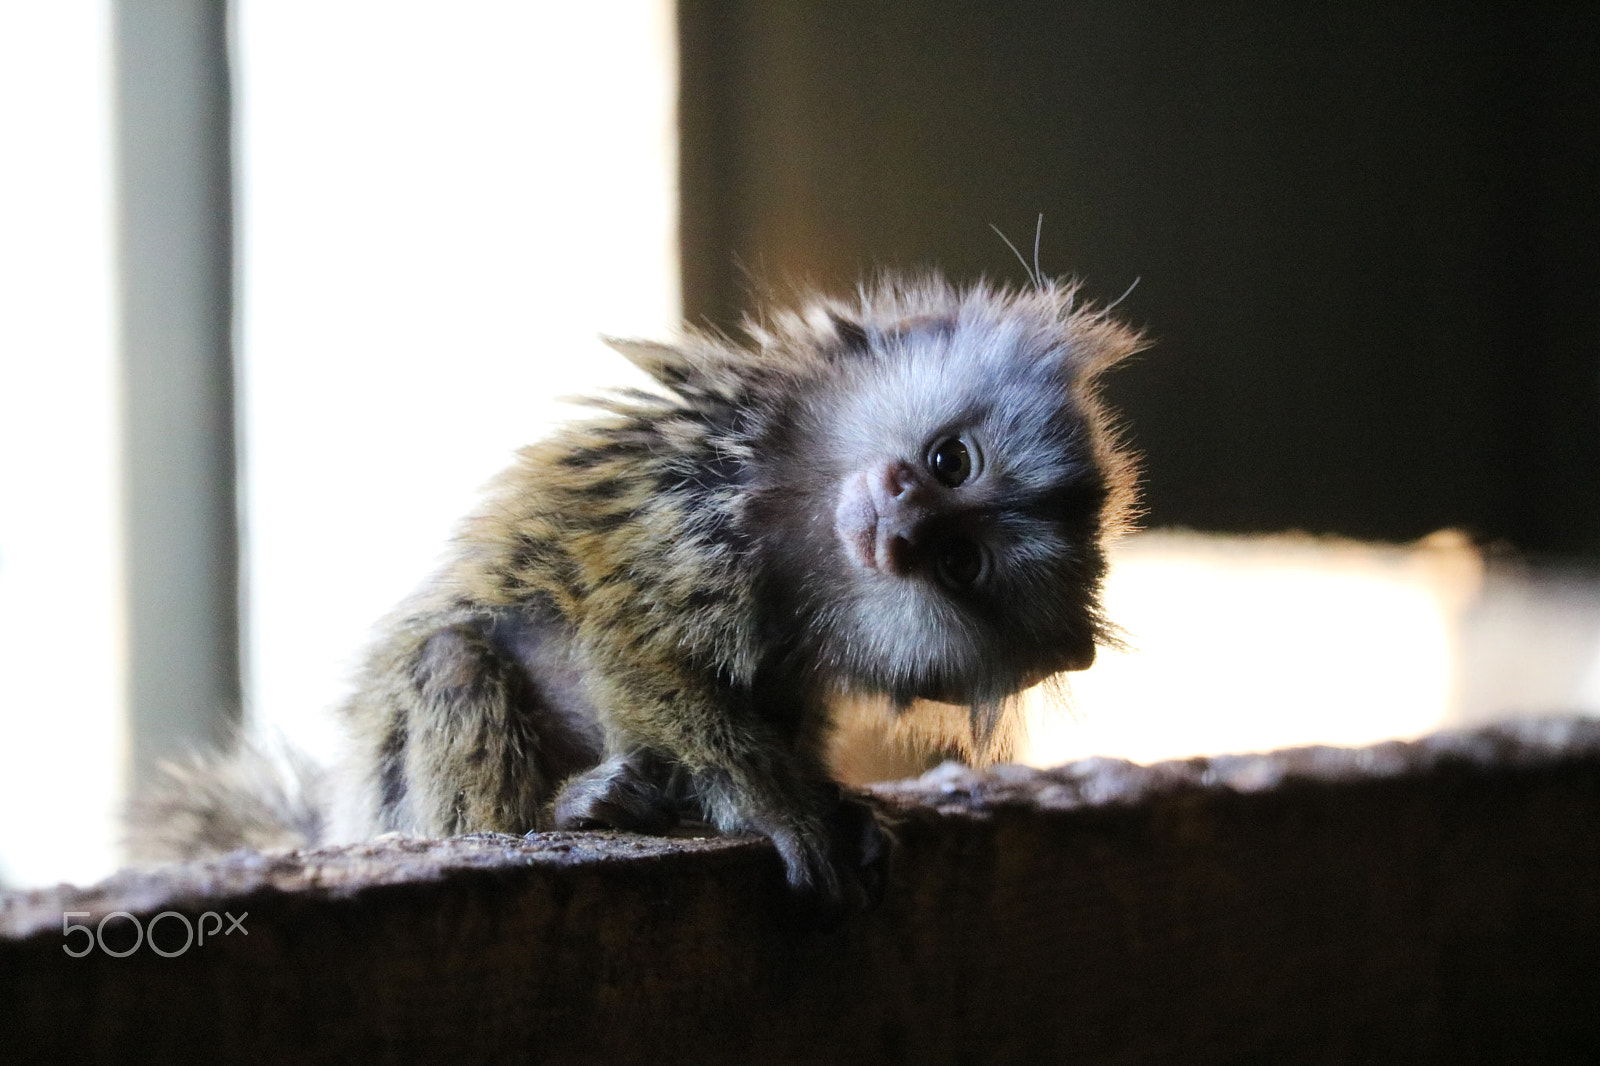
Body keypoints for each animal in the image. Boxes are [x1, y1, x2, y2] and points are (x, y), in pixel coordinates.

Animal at [131, 274, 1142, 917]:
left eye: (960, 562)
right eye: (950, 460)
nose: (900, 523)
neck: (806, 524)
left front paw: (832, 800)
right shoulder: (689, 501)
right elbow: (633, 652)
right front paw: (778, 809)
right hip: (394, 804)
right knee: (453, 659)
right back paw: (551, 816)